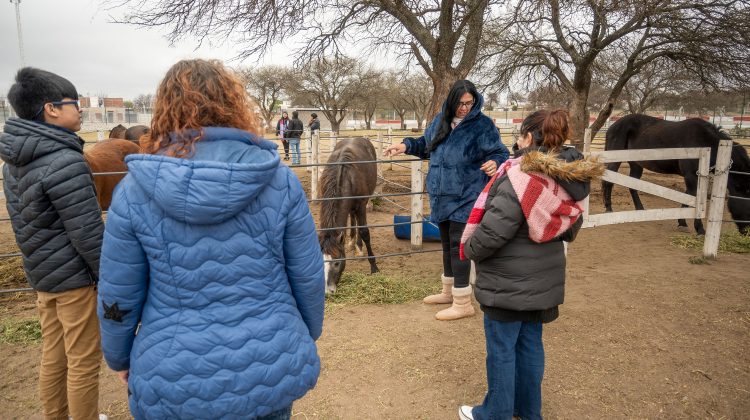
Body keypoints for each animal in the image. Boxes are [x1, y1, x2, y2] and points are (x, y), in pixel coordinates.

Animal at [318, 137, 378, 292]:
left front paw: (374, 267)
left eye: (337, 263)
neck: (347, 177)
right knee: (352, 217)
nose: (328, 290)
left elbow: (364, 232)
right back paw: (352, 243)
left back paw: (359, 247)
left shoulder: (362, 205)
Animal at [604, 113, 750, 235]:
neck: (705, 142)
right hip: (615, 160)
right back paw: (608, 209)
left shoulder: (697, 177)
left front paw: (682, 222)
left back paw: (640, 209)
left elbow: (689, 196)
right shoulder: (691, 176)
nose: (746, 231)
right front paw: (698, 228)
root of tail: (612, 126)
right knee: (608, 181)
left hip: (636, 164)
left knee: (633, 185)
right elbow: (692, 197)